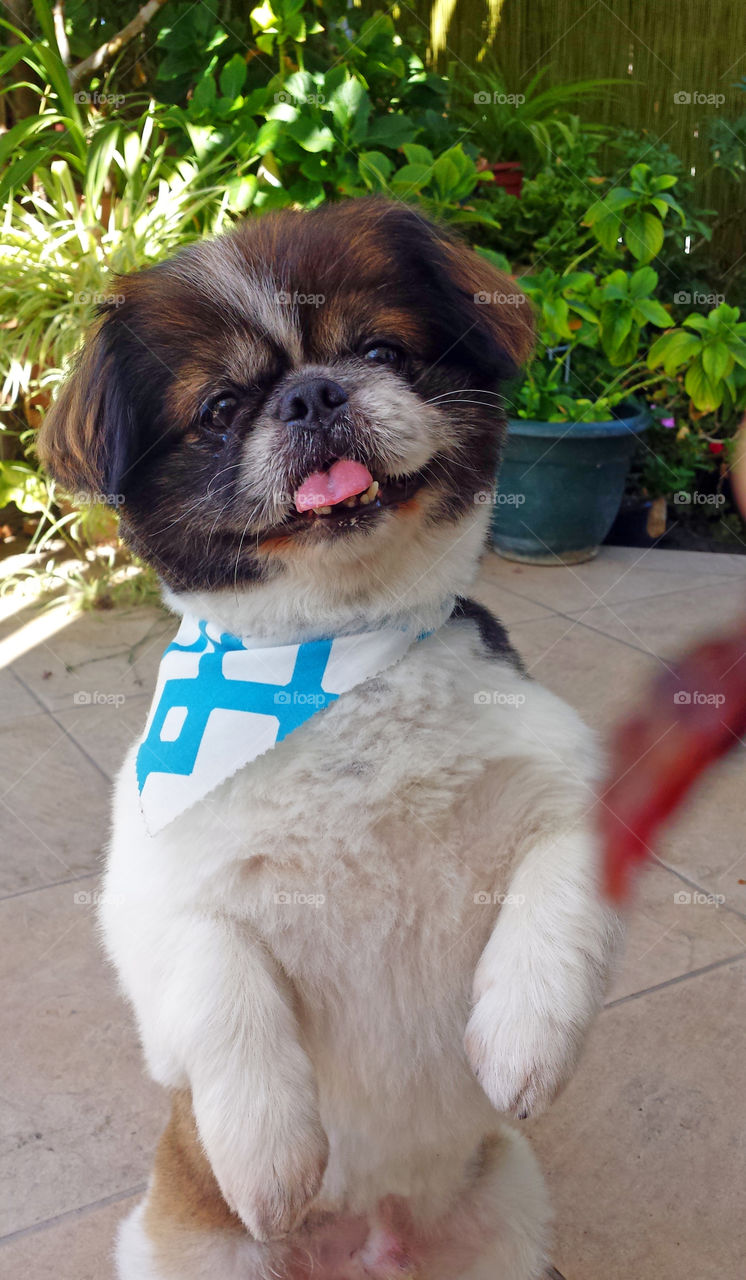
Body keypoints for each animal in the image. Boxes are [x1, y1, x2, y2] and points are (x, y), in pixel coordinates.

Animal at [37, 199, 621, 1280]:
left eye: (380, 350)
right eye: (222, 407)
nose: (312, 394)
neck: (337, 661)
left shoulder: (566, 783)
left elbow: (562, 890)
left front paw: (523, 1031)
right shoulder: (153, 899)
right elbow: (217, 970)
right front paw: (266, 1152)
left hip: (505, 1217)